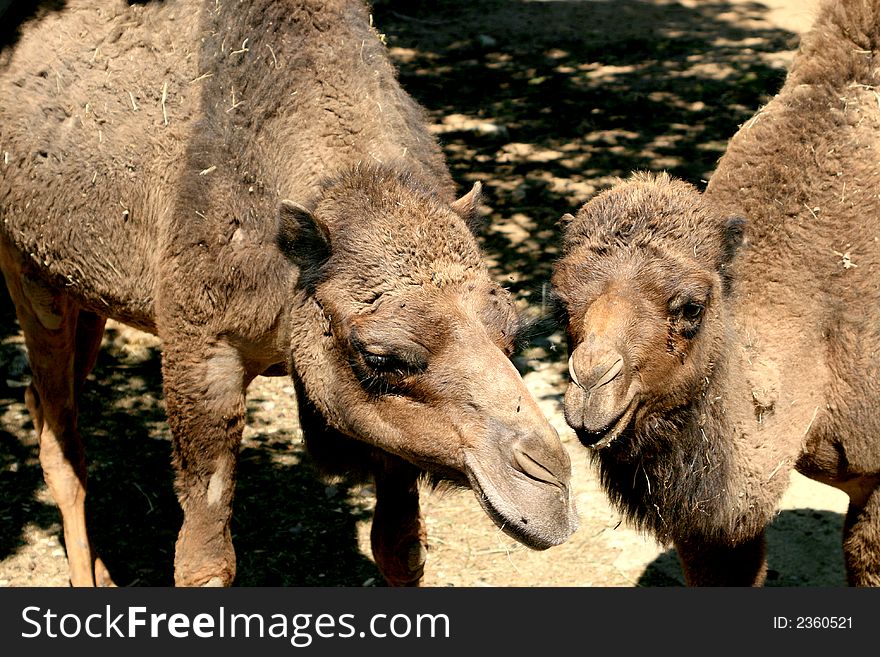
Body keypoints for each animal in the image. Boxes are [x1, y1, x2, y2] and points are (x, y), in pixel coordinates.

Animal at [0, 0, 576, 584]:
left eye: (512, 335)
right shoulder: (200, 349)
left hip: (83, 291)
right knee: (60, 442)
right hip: (27, 270)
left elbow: (400, 548)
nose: (550, 489)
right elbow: (204, 562)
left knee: (40, 401)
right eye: (379, 356)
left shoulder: (381, 423)